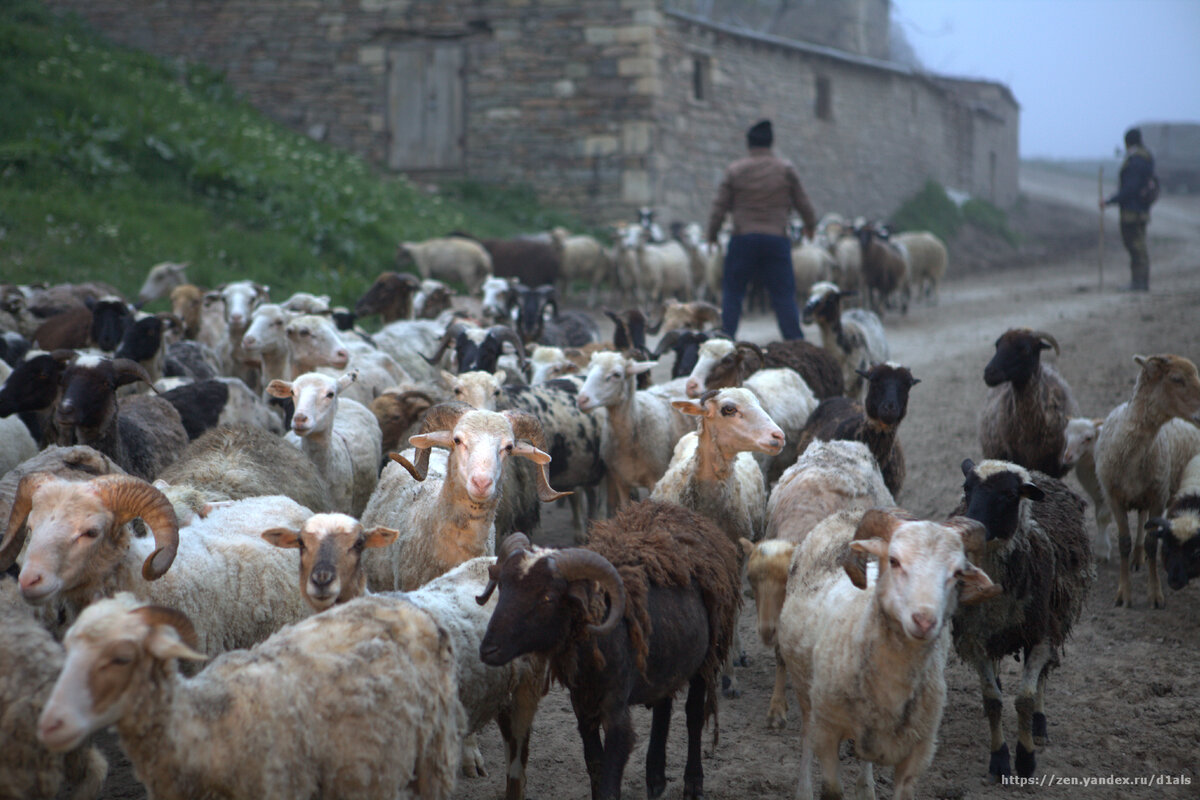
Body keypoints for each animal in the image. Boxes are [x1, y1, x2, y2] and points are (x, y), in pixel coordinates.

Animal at [36, 592, 458, 800]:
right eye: (68, 647)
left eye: (122, 657)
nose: (51, 724)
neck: (207, 727)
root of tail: (408, 606)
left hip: (435, 755)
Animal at [477, 501, 739, 800]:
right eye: (503, 586)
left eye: (547, 598)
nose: (488, 649)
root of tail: (683, 512)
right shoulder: (583, 703)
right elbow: (595, 765)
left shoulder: (615, 708)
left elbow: (611, 778)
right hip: (665, 657)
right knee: (663, 704)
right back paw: (655, 777)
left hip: (707, 655)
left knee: (694, 715)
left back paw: (693, 783)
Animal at [777, 510, 993, 796]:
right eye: (894, 560)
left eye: (958, 572)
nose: (925, 621)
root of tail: (848, 512)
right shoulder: (827, 734)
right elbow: (831, 785)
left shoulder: (918, 753)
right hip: (805, 693)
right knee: (805, 737)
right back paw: (804, 790)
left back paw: (866, 788)